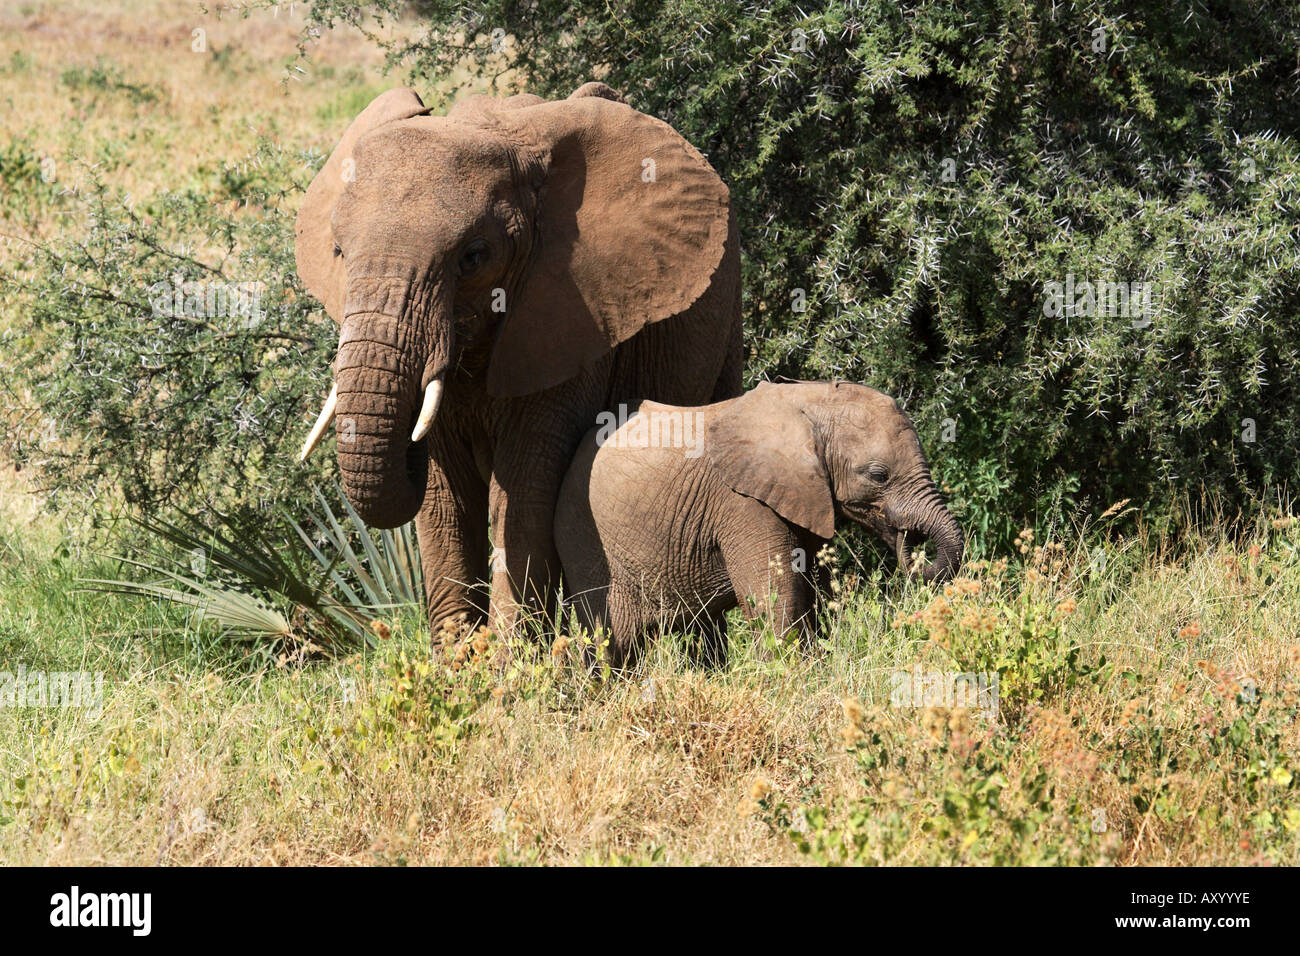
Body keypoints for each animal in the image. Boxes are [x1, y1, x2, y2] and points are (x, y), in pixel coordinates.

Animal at [296, 83, 743, 634]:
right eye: (339, 251)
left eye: (473, 257)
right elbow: (444, 502)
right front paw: (460, 659)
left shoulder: (573, 311)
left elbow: (525, 490)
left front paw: (511, 658)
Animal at [556, 382, 967, 671]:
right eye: (878, 476)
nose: (910, 542)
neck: (810, 401)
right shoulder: (744, 503)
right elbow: (776, 602)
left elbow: (812, 596)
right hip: (584, 538)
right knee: (611, 642)